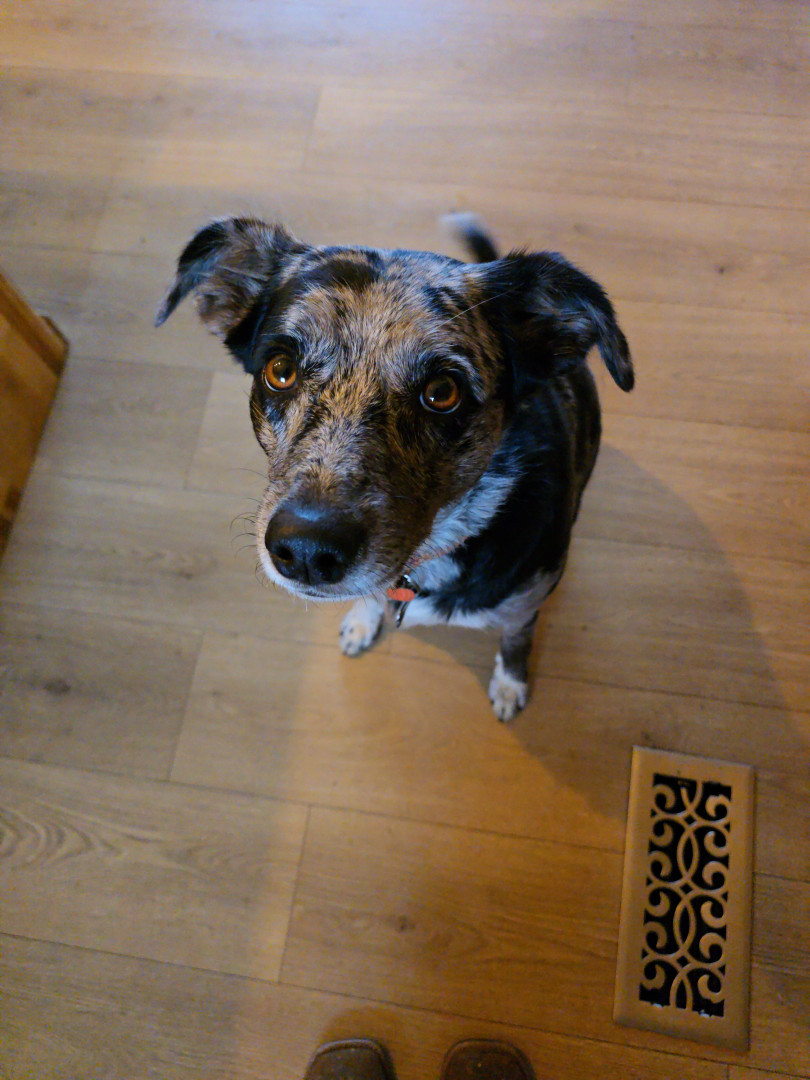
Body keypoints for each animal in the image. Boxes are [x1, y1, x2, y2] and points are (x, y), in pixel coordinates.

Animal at [156, 215, 632, 720]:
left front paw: (509, 687)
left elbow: (515, 644)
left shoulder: (524, 607)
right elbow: (369, 596)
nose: (306, 552)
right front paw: (362, 622)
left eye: (443, 392)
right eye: (280, 370)